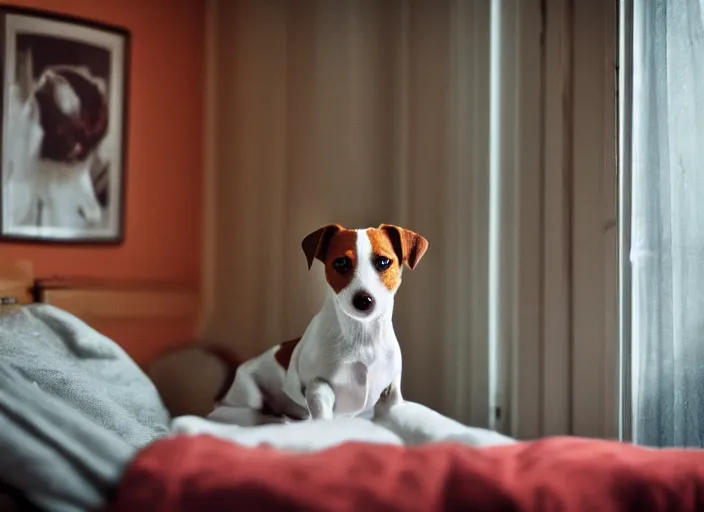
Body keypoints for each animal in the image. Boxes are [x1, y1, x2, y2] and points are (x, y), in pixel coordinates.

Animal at [214, 223, 426, 420]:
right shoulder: (318, 387)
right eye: (341, 263)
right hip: (249, 398)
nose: (364, 300)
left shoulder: (393, 396)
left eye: (383, 262)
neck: (361, 334)